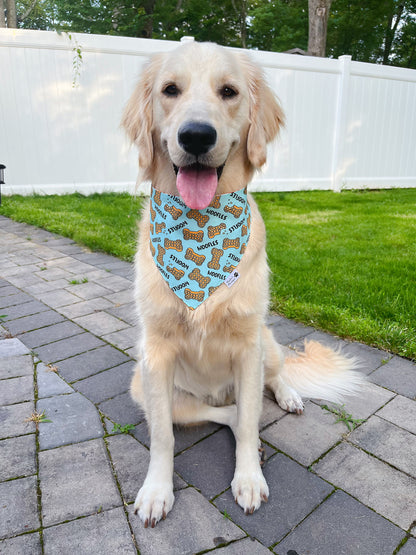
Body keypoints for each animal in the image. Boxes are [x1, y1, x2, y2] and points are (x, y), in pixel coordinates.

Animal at [121, 41, 364, 528]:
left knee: (274, 380)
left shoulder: (248, 346)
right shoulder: (155, 353)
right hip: (146, 383)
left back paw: (289, 397)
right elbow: (164, 436)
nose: (197, 136)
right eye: (170, 90)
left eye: (229, 92)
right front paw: (157, 490)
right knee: (223, 412)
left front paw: (249, 479)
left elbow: (253, 424)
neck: (201, 231)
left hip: (265, 343)